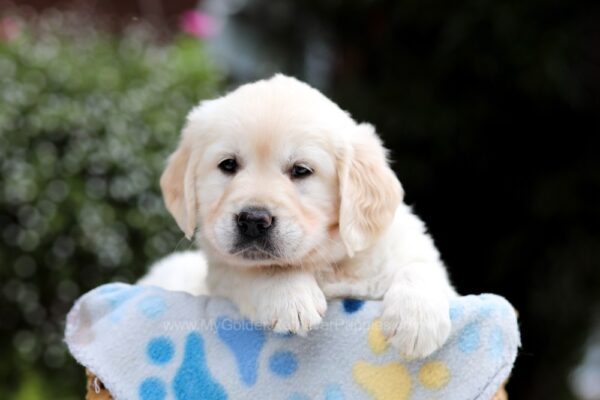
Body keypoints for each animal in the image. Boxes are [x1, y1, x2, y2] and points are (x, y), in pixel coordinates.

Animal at [142, 75, 460, 360]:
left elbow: (420, 267)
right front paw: (288, 296)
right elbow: (258, 268)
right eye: (228, 165)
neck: (328, 265)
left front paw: (417, 320)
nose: (253, 221)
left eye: (301, 170)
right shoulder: (221, 278)